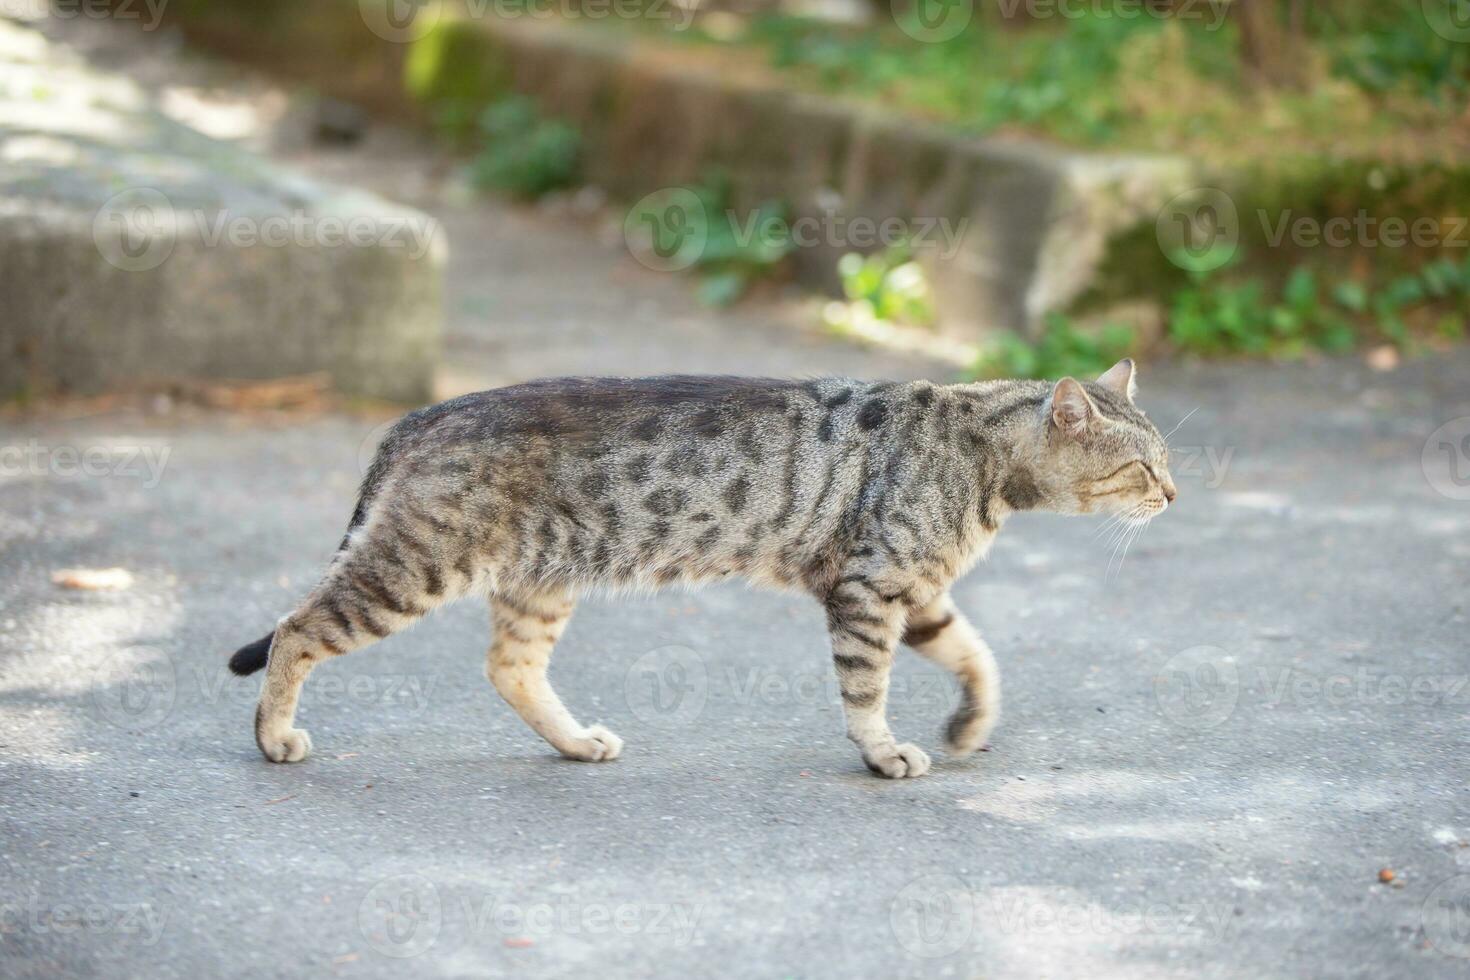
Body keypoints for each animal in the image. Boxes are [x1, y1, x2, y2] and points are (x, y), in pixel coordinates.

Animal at [226, 357, 1170, 775]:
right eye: (1141, 468)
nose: (1174, 493)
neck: (978, 452)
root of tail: (422, 415)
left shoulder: (917, 590)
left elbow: (979, 657)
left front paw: (969, 727)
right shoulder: (869, 586)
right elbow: (868, 688)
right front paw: (882, 751)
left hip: (539, 582)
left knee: (508, 667)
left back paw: (576, 741)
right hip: (415, 566)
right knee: (295, 627)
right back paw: (274, 736)